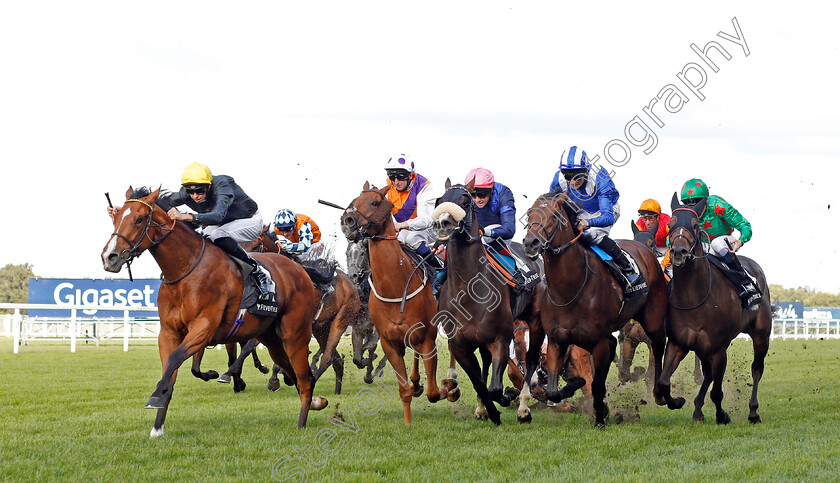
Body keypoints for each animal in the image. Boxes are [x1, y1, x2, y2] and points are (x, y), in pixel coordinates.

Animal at [103, 187, 326, 436]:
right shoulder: (169, 332)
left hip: (294, 333)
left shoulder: (204, 327)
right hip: (271, 339)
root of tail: (299, 269)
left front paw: (155, 396)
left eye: (139, 219)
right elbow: (172, 369)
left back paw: (302, 422)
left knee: (304, 378)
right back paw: (311, 399)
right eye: (115, 218)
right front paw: (157, 427)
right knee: (295, 373)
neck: (185, 269)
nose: (109, 257)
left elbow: (176, 357)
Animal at [342, 183, 460, 426]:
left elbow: (434, 392)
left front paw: (449, 388)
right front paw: (408, 421)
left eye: (375, 202)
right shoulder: (389, 342)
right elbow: (403, 388)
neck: (395, 286)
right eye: (354, 201)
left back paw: (451, 379)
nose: (347, 220)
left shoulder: (427, 338)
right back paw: (416, 382)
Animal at [520, 193, 668, 428]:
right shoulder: (557, 340)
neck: (569, 290)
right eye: (530, 213)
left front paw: (600, 416)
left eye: (554, 215)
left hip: (653, 319)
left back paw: (661, 394)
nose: (530, 243)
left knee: (659, 346)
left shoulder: (597, 343)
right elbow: (553, 391)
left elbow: (597, 384)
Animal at [656, 195, 776, 426]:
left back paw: (753, 412)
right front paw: (677, 401)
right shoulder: (678, 343)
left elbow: (717, 392)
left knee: (756, 369)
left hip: (761, 334)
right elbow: (663, 384)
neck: (694, 298)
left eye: (695, 225)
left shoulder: (718, 349)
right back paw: (697, 409)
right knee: (708, 374)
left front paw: (722, 415)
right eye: (670, 224)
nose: (678, 252)